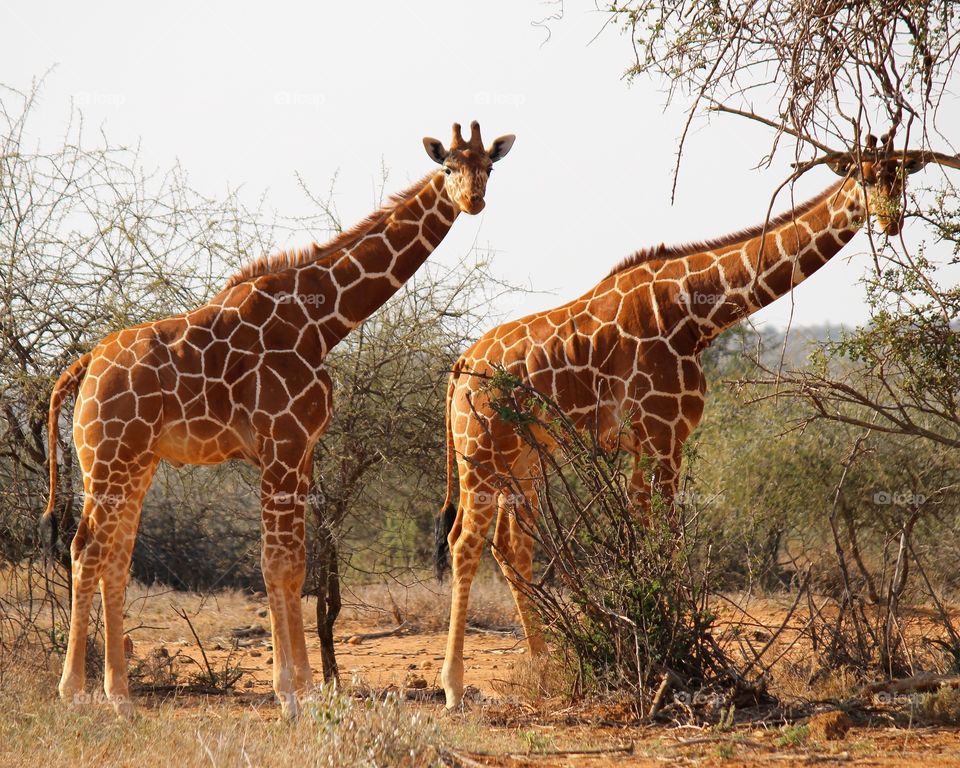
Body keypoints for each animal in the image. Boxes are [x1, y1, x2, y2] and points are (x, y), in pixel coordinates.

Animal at [43, 121, 516, 720]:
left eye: (489, 167)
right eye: (449, 166)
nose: (474, 200)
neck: (323, 320)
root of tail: (83, 366)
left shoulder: (301, 449)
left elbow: (294, 563)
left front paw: (304, 689)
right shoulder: (284, 443)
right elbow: (281, 563)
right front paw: (293, 693)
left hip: (135, 462)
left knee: (114, 556)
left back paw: (119, 696)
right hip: (106, 458)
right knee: (87, 550)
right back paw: (73, 692)